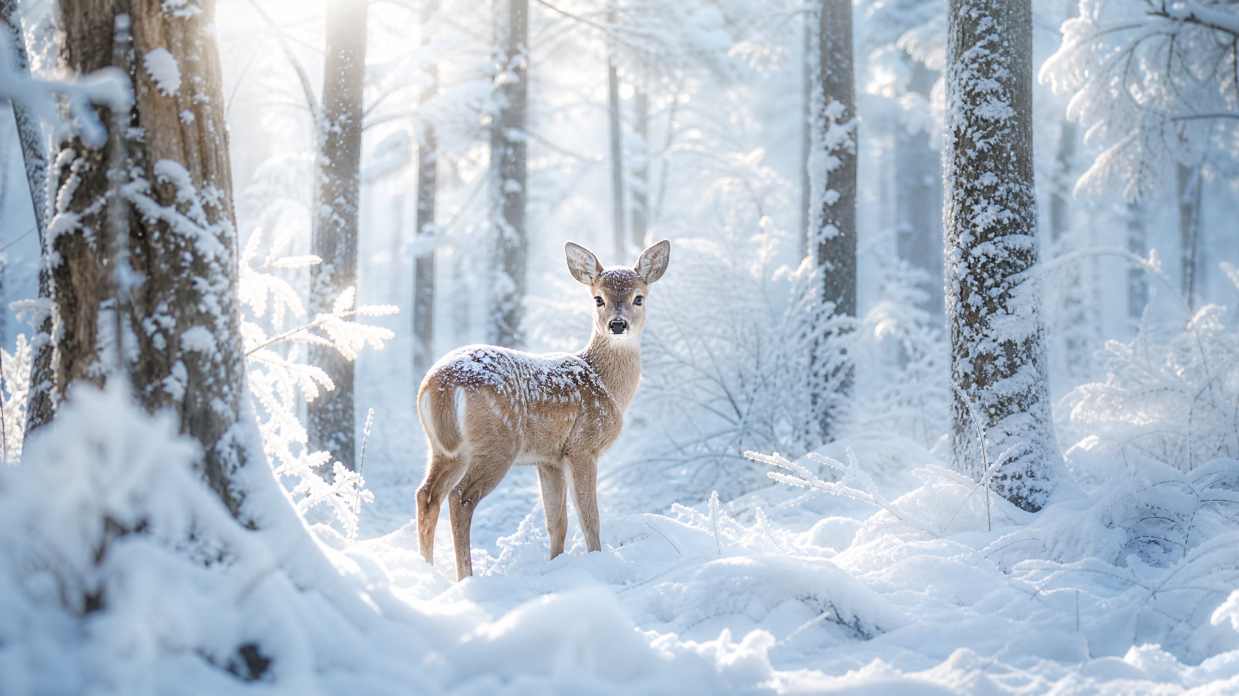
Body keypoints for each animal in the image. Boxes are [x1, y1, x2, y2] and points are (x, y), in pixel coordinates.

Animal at [415, 240, 671, 580]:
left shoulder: (548, 458)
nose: (618, 324)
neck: (606, 383)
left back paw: (427, 570)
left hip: (443, 448)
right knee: (460, 497)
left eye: (638, 297)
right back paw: (465, 576)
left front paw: (554, 565)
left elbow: (557, 522)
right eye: (598, 299)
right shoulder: (582, 447)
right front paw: (597, 561)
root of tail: (440, 384)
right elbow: (589, 517)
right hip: (497, 443)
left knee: (427, 494)